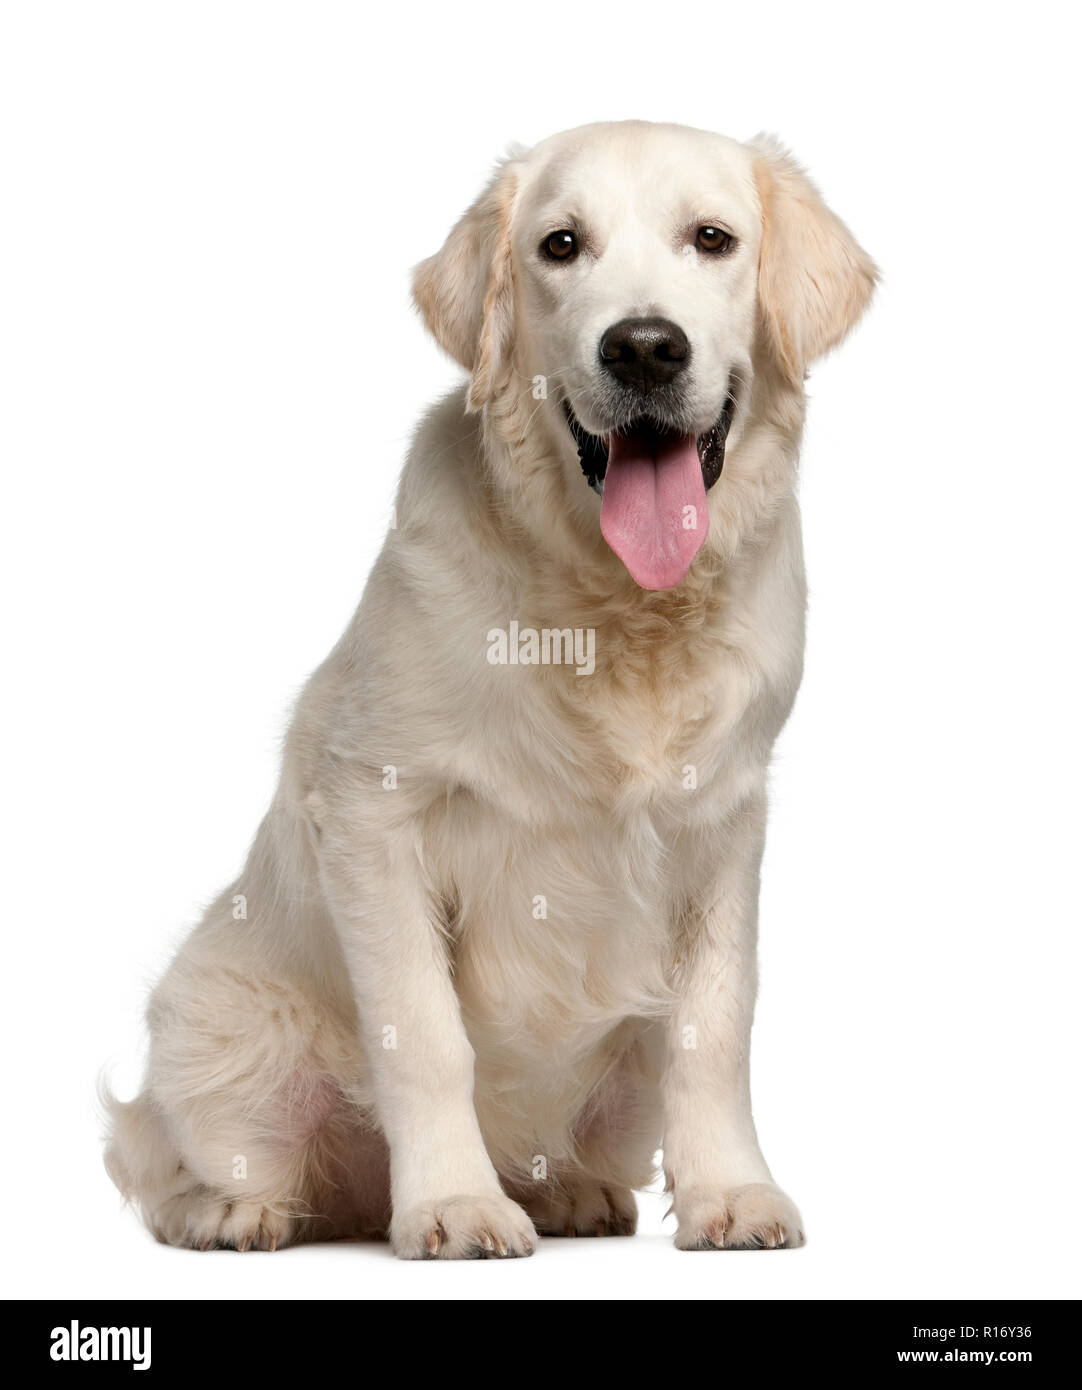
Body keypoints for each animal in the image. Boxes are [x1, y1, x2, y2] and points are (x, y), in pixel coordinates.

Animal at [105, 122, 873, 1262]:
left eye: (712, 238)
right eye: (560, 244)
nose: (643, 347)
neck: (613, 609)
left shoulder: (726, 822)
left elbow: (716, 1025)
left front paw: (730, 1191)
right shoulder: (374, 810)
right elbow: (424, 1036)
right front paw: (454, 1204)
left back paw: (566, 1193)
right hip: (216, 1017)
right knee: (162, 1155)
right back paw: (234, 1211)